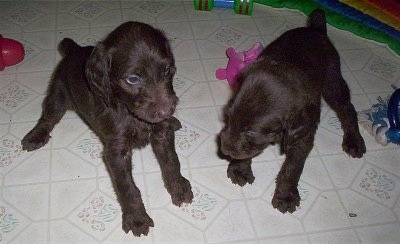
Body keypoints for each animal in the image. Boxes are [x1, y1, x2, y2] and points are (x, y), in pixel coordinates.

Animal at [21, 22, 194, 236]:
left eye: (167, 69)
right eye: (133, 79)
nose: (167, 111)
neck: (128, 111)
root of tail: (75, 49)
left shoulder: (161, 133)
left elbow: (171, 162)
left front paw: (179, 187)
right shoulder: (116, 152)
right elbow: (127, 187)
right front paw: (137, 218)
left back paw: (173, 121)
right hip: (57, 94)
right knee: (47, 116)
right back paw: (35, 136)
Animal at [219, 10, 366, 214]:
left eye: (252, 133)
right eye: (228, 116)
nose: (224, 149)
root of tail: (316, 29)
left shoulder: (302, 136)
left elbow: (292, 168)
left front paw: (285, 195)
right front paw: (240, 169)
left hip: (332, 82)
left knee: (347, 109)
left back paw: (354, 141)